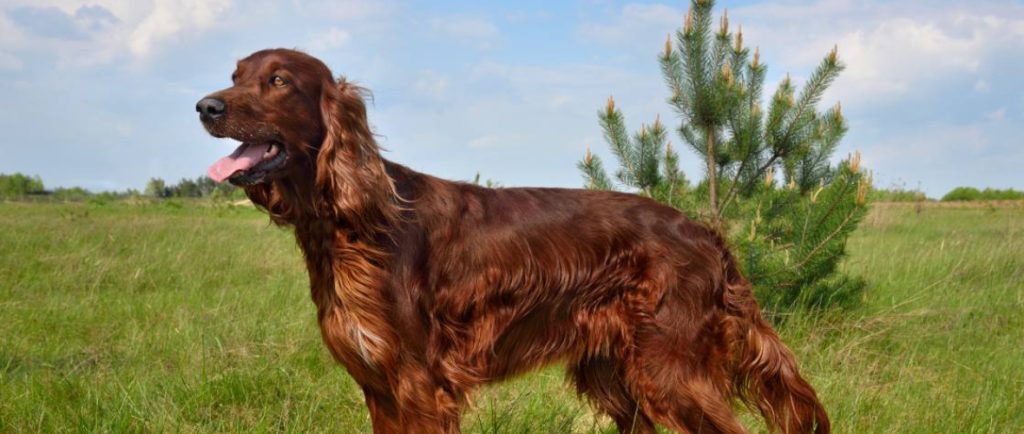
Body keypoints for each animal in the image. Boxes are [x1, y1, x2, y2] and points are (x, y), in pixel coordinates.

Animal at [195, 49, 827, 434]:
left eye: (279, 80)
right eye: (234, 74)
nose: (206, 105)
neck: (354, 224)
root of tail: (705, 232)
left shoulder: (418, 384)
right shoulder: (379, 385)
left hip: (671, 371)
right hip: (616, 373)